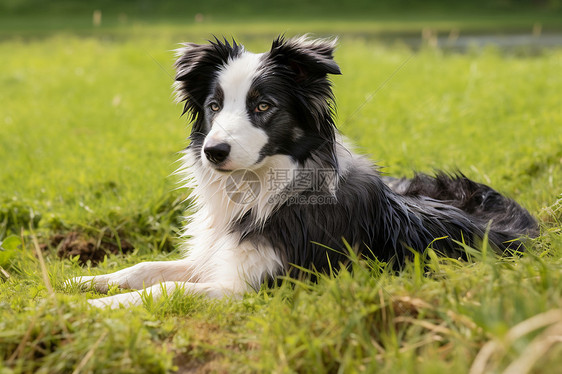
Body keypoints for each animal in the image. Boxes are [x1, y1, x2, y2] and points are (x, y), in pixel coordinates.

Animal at [72, 36, 536, 308]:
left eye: (263, 105)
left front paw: (97, 308)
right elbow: (146, 268)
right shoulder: (216, 256)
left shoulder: (256, 285)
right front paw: (88, 281)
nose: (213, 152)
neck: (264, 188)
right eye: (214, 106)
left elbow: (168, 288)